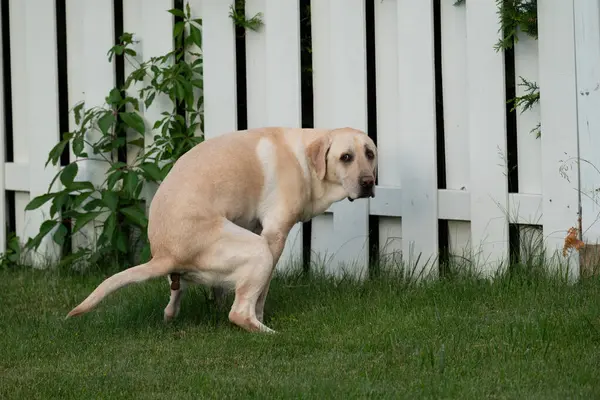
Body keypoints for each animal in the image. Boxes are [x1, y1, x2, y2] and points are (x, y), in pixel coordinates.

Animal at [65, 126, 376, 332]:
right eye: (346, 157)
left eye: (370, 153)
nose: (368, 183)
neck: (305, 161)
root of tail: (165, 254)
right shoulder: (273, 236)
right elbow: (263, 293)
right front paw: (262, 314)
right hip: (257, 251)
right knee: (238, 314)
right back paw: (267, 332)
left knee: (176, 293)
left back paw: (174, 311)